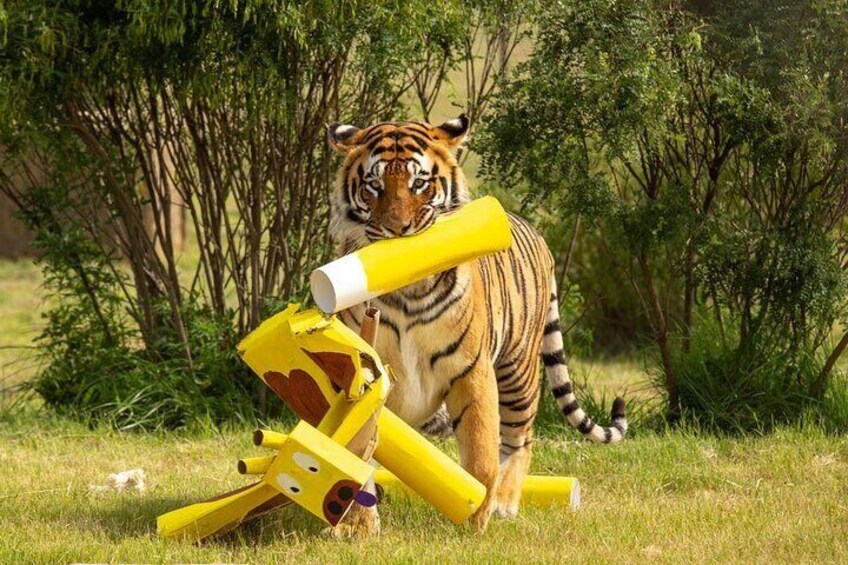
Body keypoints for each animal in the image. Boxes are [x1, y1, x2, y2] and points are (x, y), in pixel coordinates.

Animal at [328, 115, 628, 532]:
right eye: (374, 185)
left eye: (418, 183)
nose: (397, 229)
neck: (407, 293)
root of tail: (537, 232)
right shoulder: (366, 375)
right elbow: (355, 449)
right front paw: (357, 524)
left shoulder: (471, 369)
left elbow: (482, 450)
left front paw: (476, 517)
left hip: (518, 373)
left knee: (520, 438)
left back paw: (503, 501)